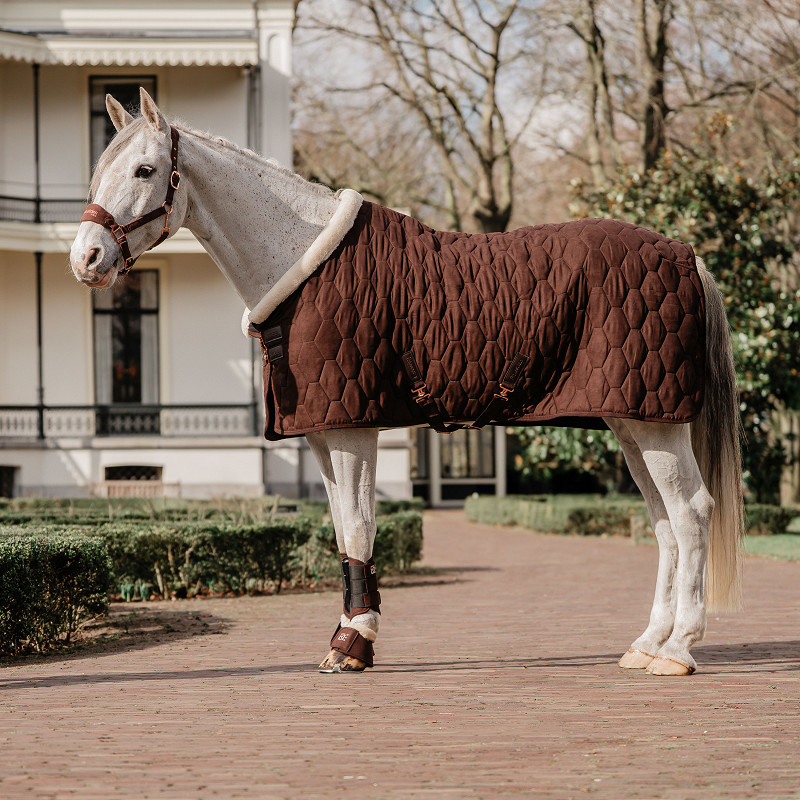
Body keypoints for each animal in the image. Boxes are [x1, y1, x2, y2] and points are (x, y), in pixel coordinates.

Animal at [69, 88, 743, 676]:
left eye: (145, 169)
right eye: (98, 170)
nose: (86, 259)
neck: (303, 256)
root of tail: (687, 256)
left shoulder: (353, 428)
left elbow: (361, 525)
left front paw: (353, 644)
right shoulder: (324, 432)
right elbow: (344, 531)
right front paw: (350, 638)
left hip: (654, 422)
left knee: (690, 512)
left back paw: (677, 650)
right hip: (632, 420)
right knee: (663, 519)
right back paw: (646, 643)